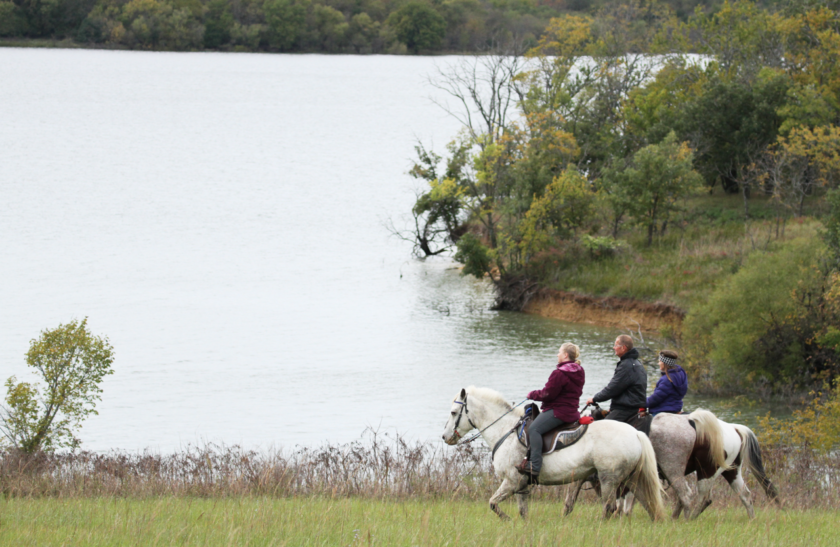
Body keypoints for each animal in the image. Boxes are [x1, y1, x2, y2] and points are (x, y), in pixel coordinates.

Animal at [441, 386, 666, 521]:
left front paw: (507, 520)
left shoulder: (512, 482)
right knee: (645, 503)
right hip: (631, 478)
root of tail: (635, 433)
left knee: (610, 507)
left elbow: (493, 503)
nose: (445, 437)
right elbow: (522, 511)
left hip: (608, 478)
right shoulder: (521, 485)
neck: (505, 430)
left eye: (453, 412)